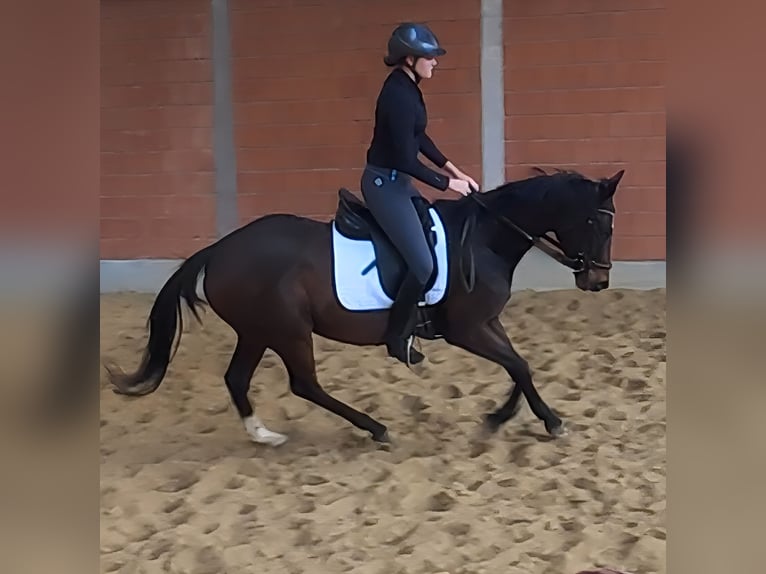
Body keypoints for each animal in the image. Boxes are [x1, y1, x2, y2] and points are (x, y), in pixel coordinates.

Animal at [104, 167, 624, 446]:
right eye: (598, 223)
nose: (598, 280)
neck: (486, 237)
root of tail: (219, 250)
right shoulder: (467, 329)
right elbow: (517, 363)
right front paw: (549, 422)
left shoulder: (486, 323)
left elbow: (521, 364)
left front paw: (503, 417)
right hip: (287, 330)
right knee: (304, 384)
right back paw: (376, 429)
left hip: (257, 331)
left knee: (238, 378)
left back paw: (264, 435)